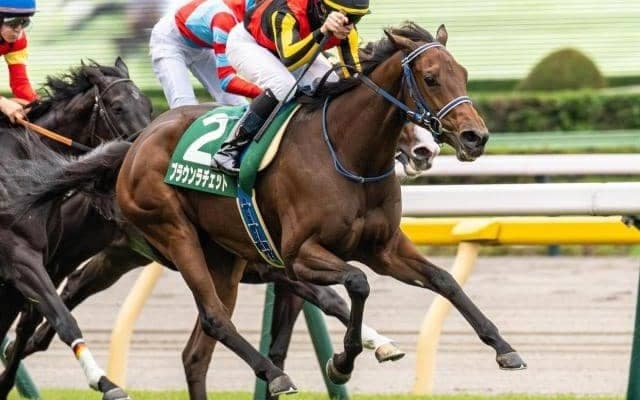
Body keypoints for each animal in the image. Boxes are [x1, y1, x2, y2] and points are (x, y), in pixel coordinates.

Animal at [0, 59, 152, 400]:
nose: (142, 153)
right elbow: (64, 320)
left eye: (149, 105)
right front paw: (106, 383)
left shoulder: (39, 264)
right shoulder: (20, 258)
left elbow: (28, 322)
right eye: (117, 107)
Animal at [0, 122, 432, 400]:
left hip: (121, 253)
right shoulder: (277, 262)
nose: (426, 149)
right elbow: (329, 300)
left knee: (69, 292)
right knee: (51, 299)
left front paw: (379, 344)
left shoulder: (276, 267)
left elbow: (318, 310)